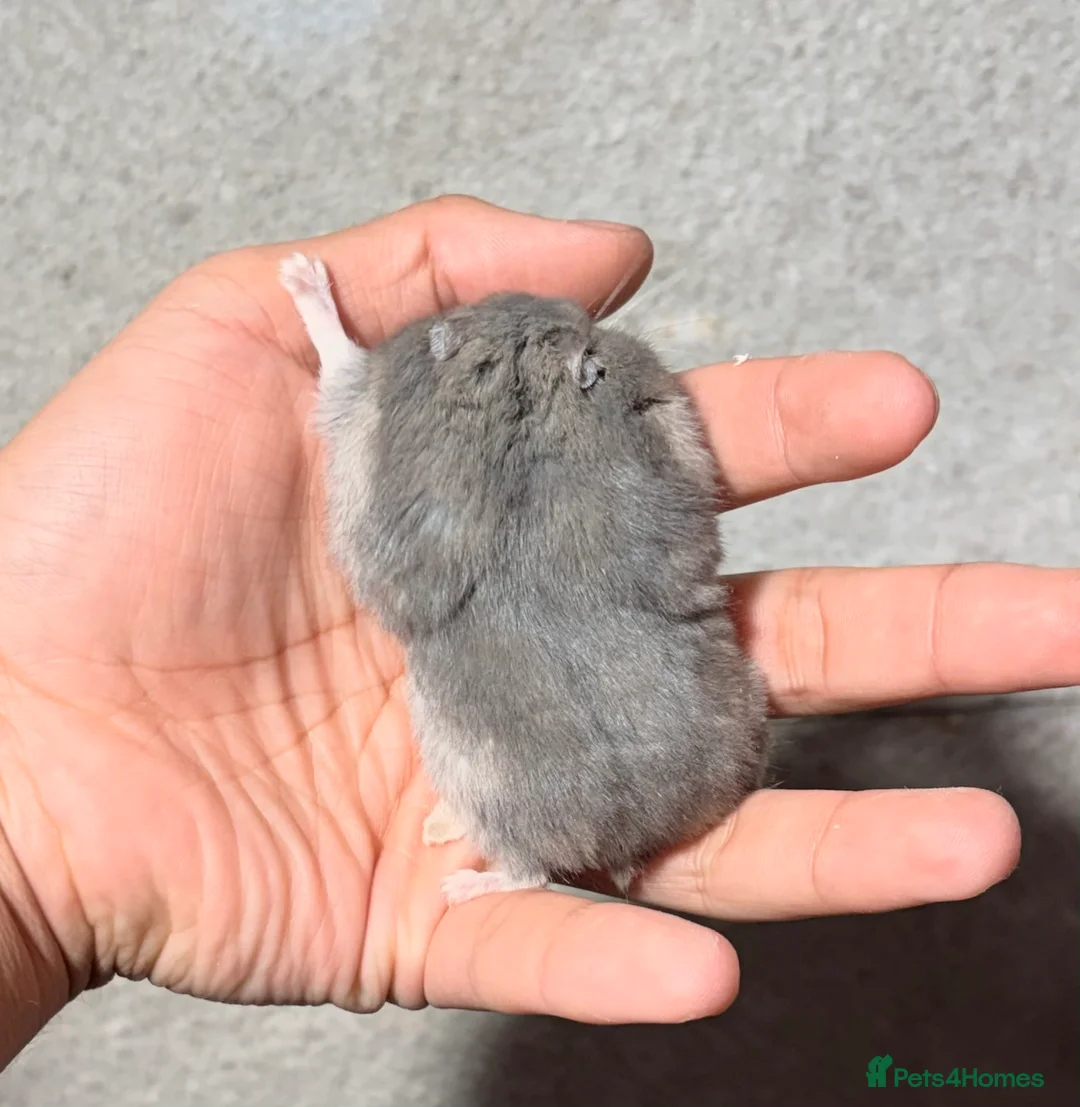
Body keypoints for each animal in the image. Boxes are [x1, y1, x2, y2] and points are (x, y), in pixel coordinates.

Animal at [279, 254, 769, 905]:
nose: (569, 307)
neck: (530, 387)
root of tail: (631, 836)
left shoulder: (359, 399)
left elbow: (338, 359)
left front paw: (297, 271)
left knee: (528, 873)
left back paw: (458, 885)